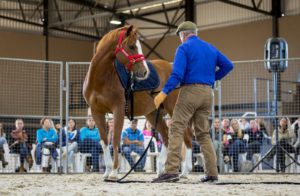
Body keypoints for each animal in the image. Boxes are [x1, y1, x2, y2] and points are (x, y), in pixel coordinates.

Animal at [83, 26, 193, 181]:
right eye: (131, 46)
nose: (145, 72)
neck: (101, 78)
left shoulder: (118, 110)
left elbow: (116, 140)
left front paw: (114, 172)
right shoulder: (96, 111)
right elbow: (104, 141)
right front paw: (107, 171)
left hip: (173, 109)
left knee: (185, 136)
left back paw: (184, 171)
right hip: (153, 114)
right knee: (166, 136)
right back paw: (161, 170)